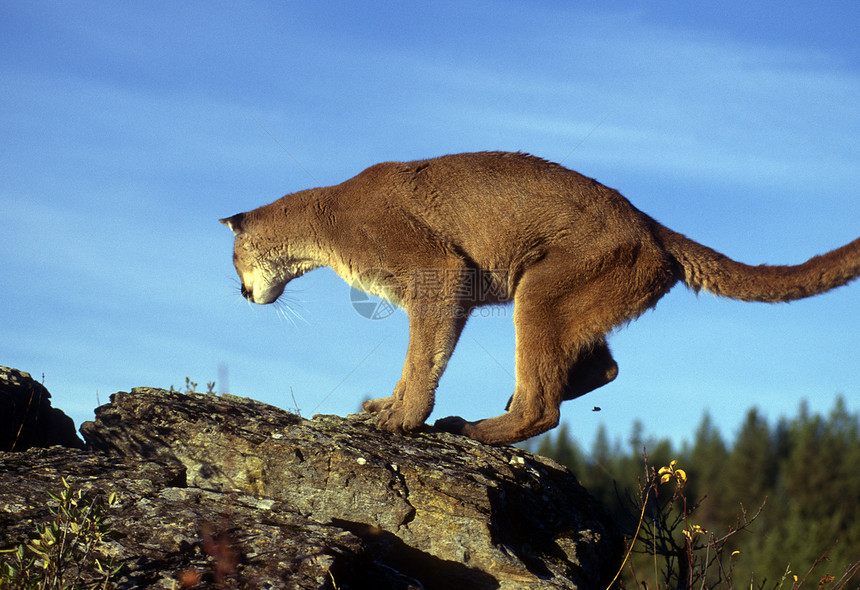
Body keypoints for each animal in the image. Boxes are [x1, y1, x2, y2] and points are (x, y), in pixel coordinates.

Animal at [222, 150, 860, 446]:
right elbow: (419, 356)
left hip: (540, 293)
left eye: (231, 260)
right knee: (602, 367)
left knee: (544, 407)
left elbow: (423, 354)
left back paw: (477, 426)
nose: (242, 293)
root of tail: (650, 224)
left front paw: (402, 419)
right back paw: (518, 397)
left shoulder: (439, 272)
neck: (324, 222)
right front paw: (388, 405)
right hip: (574, 298)